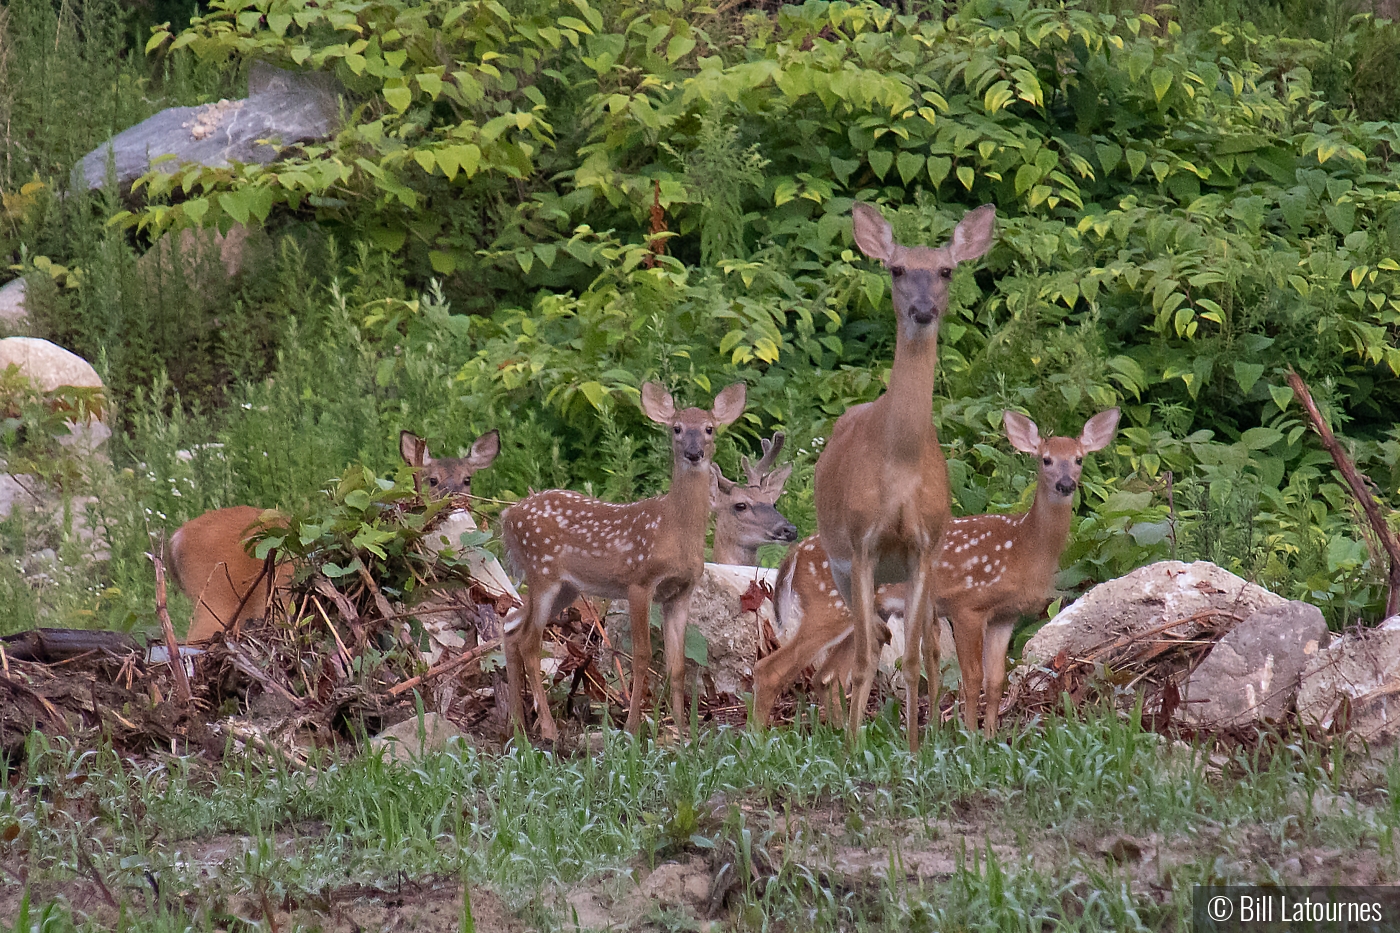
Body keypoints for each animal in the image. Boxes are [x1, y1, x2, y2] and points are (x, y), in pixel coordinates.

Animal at [501, 381, 750, 739]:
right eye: (676, 428)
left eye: (709, 428)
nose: (693, 453)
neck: (674, 527)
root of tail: (507, 516)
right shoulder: (639, 581)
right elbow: (642, 655)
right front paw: (632, 727)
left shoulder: (681, 591)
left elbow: (677, 664)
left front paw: (681, 730)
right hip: (542, 571)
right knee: (529, 642)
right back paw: (547, 729)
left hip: (566, 588)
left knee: (510, 625)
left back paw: (518, 726)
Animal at [750, 406, 1120, 734]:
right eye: (1045, 459)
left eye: (1079, 459)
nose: (1065, 484)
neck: (1024, 548)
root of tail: (796, 553)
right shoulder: (968, 604)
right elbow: (972, 678)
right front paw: (970, 738)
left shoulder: (1006, 615)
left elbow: (995, 681)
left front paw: (990, 737)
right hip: (827, 606)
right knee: (771, 669)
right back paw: (759, 738)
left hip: (862, 614)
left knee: (827, 676)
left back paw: (841, 734)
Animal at [812, 201, 996, 750]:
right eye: (895, 269)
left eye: (946, 270)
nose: (922, 309)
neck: (900, 469)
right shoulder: (861, 544)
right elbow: (867, 657)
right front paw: (854, 747)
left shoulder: (923, 546)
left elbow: (914, 658)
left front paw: (915, 747)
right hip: (839, 563)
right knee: (864, 645)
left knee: (930, 647)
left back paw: (932, 731)